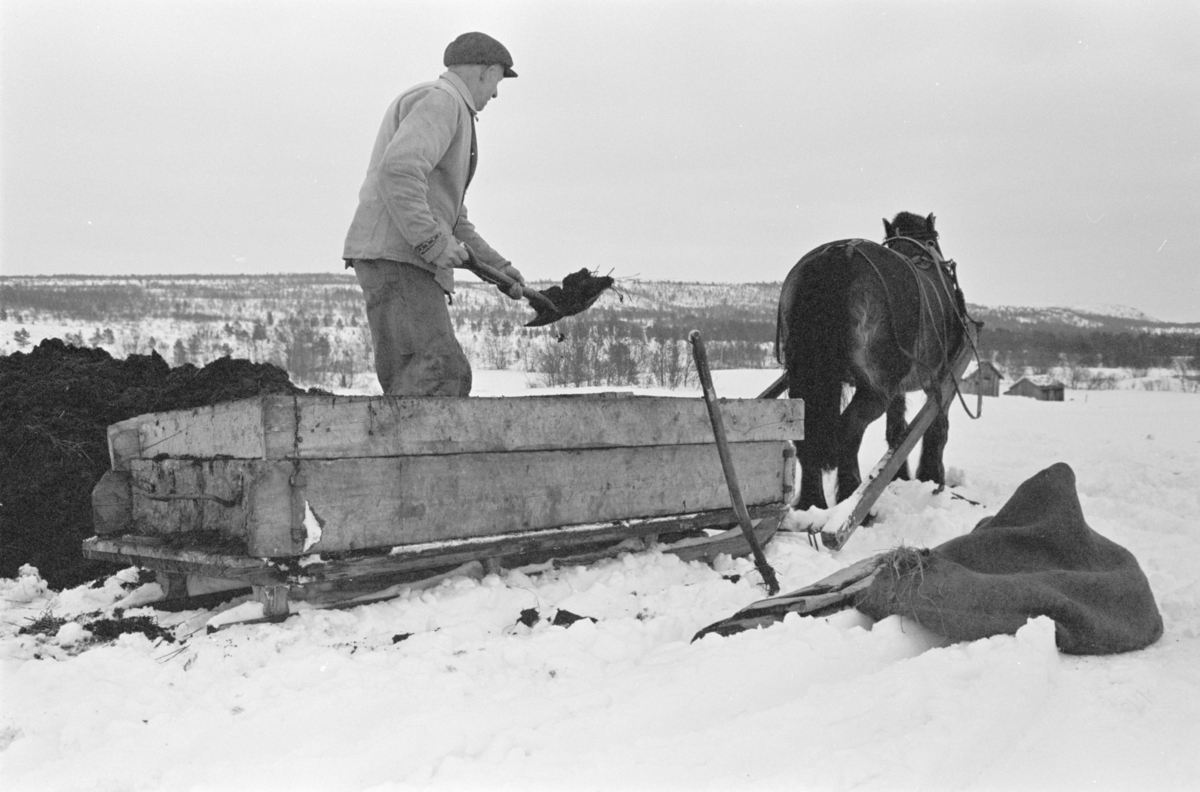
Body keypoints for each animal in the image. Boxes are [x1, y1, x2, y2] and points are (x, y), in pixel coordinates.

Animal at [777, 210, 974, 511]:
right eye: (935, 238)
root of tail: (837, 256)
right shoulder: (943, 377)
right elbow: (936, 427)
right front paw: (931, 476)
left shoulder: (900, 387)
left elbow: (897, 432)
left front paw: (900, 477)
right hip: (876, 387)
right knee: (849, 430)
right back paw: (853, 499)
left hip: (805, 381)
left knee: (808, 435)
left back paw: (811, 504)